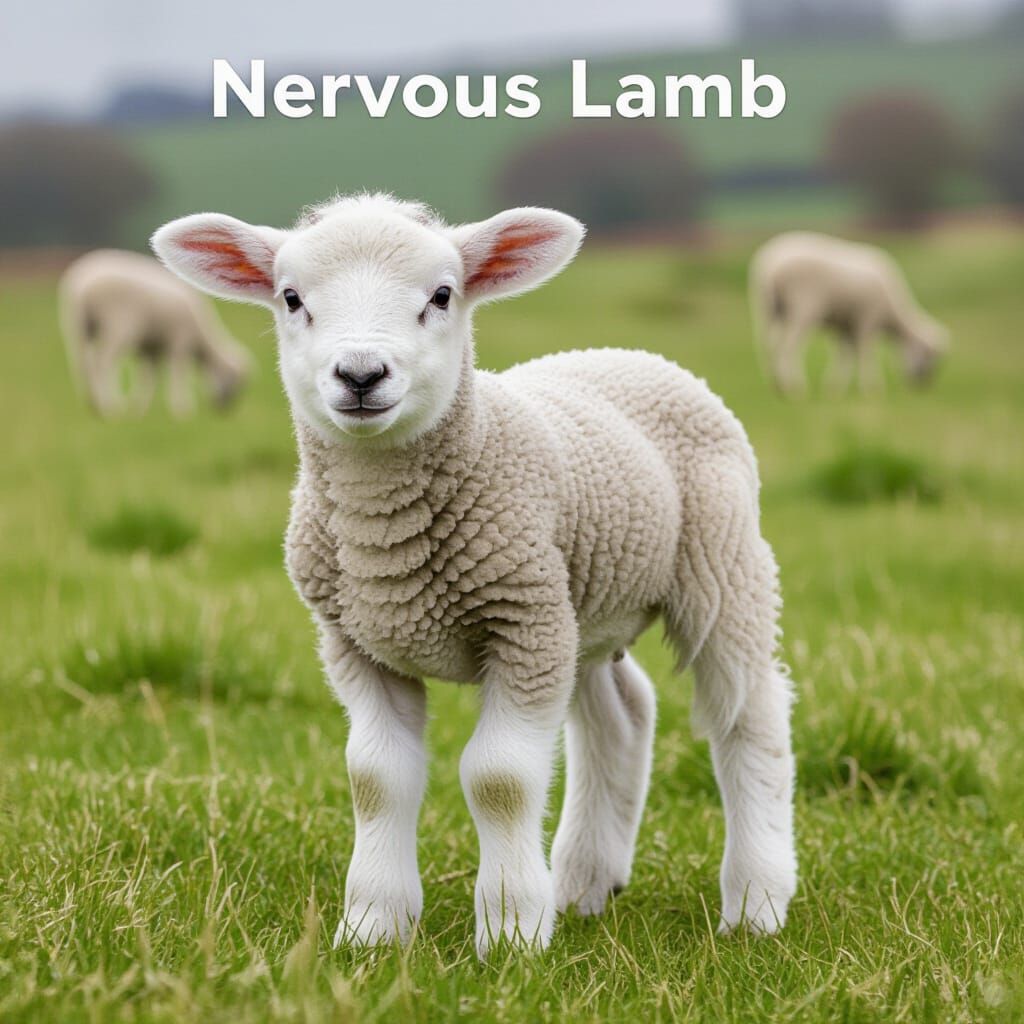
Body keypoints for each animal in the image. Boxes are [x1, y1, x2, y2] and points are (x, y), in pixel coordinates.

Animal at [59, 249, 251, 417]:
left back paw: (94, 403)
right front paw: (182, 409)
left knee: (83, 363)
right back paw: (111, 405)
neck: (201, 338)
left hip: (77, 325)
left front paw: (140, 407)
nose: (225, 411)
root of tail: (85, 283)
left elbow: (148, 378)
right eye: (235, 381)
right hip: (117, 323)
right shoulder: (179, 341)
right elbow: (178, 373)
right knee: (103, 362)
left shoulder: (150, 349)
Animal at [152, 193, 797, 957]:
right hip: (577, 604)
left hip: (719, 563)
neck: (386, 541)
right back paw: (583, 885)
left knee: (748, 713)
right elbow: (376, 778)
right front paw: (373, 927)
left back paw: (756, 903)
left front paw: (513, 932)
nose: (361, 375)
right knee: (621, 716)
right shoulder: (358, 644)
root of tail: (630, 354)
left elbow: (500, 779)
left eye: (441, 295)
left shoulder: (519, 624)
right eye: (291, 298)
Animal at [749, 231, 949, 396]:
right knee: (789, 347)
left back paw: (777, 385)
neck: (892, 314)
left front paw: (835, 388)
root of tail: (774, 265)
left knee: (769, 345)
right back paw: (794, 388)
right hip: (803, 307)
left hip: (766, 308)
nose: (924, 385)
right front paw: (871, 388)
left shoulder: (845, 325)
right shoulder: (868, 320)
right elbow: (865, 353)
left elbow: (844, 355)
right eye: (929, 356)